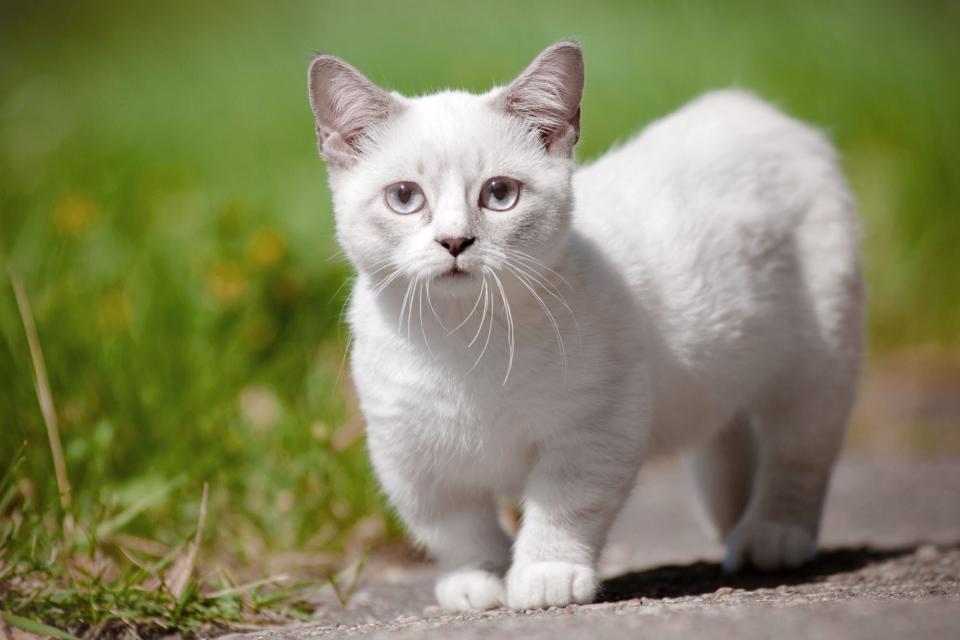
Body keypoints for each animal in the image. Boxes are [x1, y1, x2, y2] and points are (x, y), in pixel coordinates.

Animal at [306, 42, 864, 612]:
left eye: (499, 193)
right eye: (404, 197)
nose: (455, 241)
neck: (463, 340)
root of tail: (752, 108)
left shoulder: (595, 427)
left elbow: (563, 507)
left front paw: (545, 574)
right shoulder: (408, 453)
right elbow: (454, 526)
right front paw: (475, 580)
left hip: (817, 361)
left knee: (798, 455)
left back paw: (771, 535)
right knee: (727, 440)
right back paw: (734, 526)